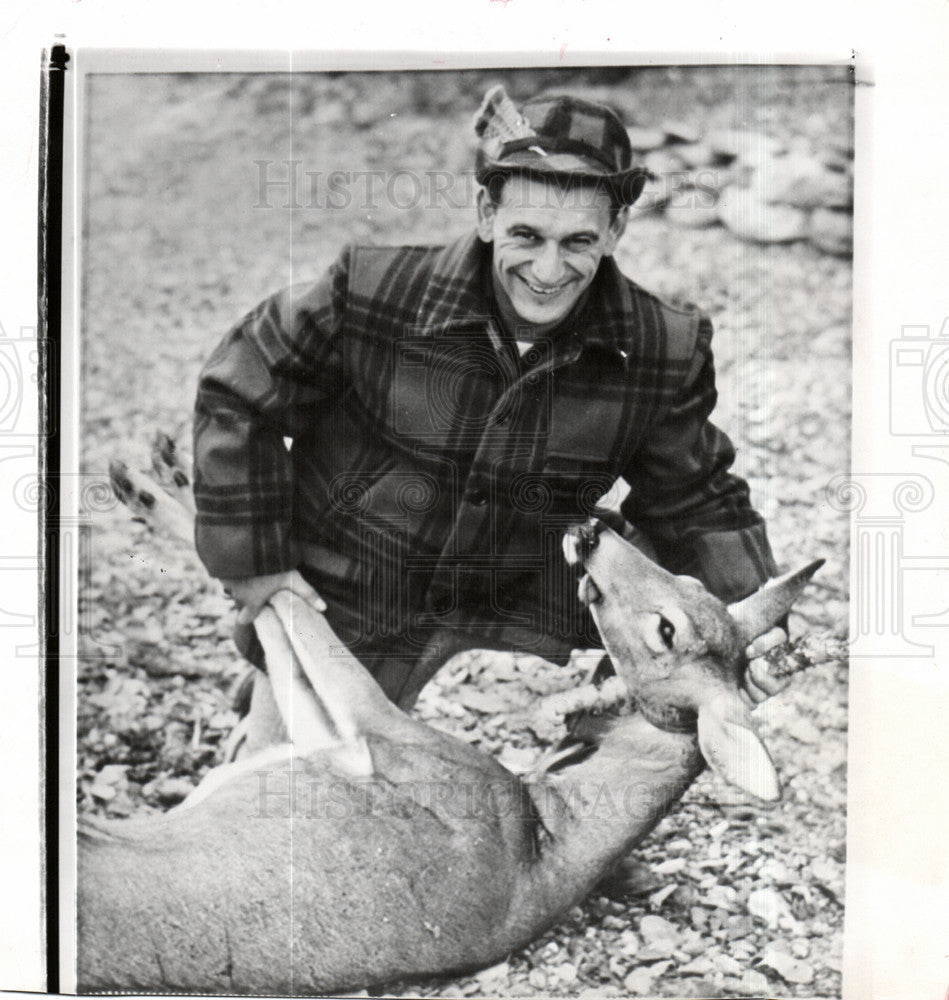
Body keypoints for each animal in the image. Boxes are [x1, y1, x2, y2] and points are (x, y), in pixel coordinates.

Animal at [78, 444, 824, 992]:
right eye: (692, 582)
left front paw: (163, 496)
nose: (590, 529)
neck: (547, 835)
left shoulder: (379, 739)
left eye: (665, 629)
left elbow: (293, 607)